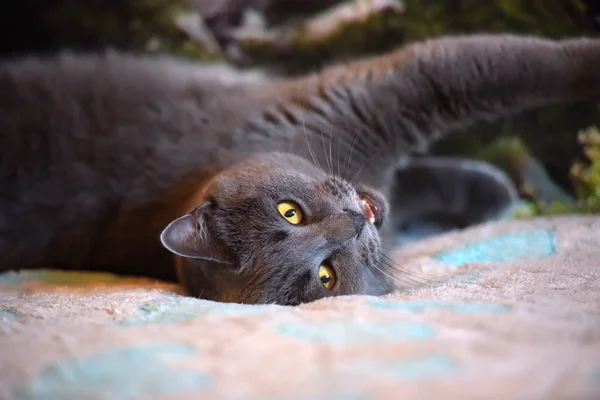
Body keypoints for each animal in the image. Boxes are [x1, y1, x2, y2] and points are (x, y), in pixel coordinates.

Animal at [1, 34, 600, 304]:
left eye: (289, 212)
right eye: (326, 275)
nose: (353, 225)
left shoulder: (379, 97)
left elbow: (495, 64)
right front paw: (493, 190)